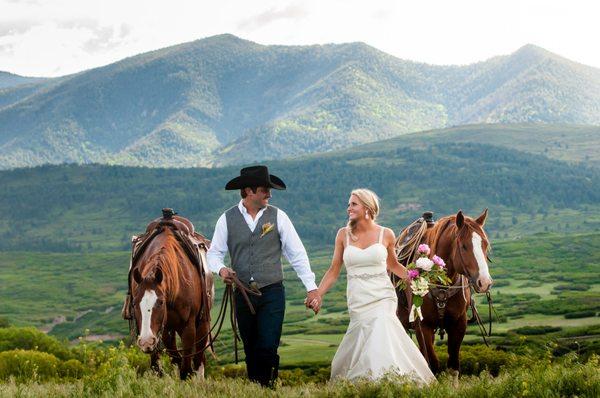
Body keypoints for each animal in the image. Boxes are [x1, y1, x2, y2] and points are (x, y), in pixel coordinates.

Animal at [131, 227, 211, 380]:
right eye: (134, 303)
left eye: (161, 302)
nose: (146, 342)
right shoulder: (164, 330)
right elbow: (175, 360)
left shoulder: (188, 327)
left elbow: (186, 368)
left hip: (202, 325)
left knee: (199, 359)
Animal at [396, 210, 490, 374]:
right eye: (464, 246)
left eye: (485, 244)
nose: (485, 282)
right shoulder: (423, 326)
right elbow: (432, 363)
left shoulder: (459, 324)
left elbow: (453, 364)